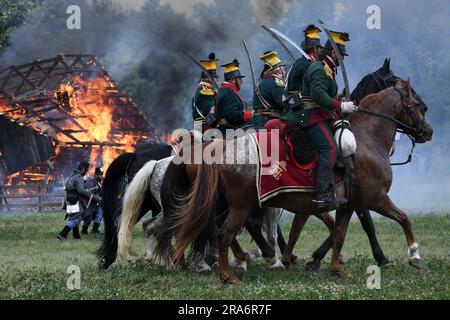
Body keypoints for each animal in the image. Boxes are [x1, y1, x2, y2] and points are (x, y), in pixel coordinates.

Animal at [156, 79, 432, 284]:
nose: (428, 131)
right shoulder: (375, 199)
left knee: (216, 228)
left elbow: (337, 233)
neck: (367, 139)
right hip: (241, 205)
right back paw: (231, 272)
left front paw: (330, 267)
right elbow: (402, 218)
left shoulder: (344, 204)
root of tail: (219, 148)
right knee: (224, 232)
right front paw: (414, 256)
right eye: (418, 104)